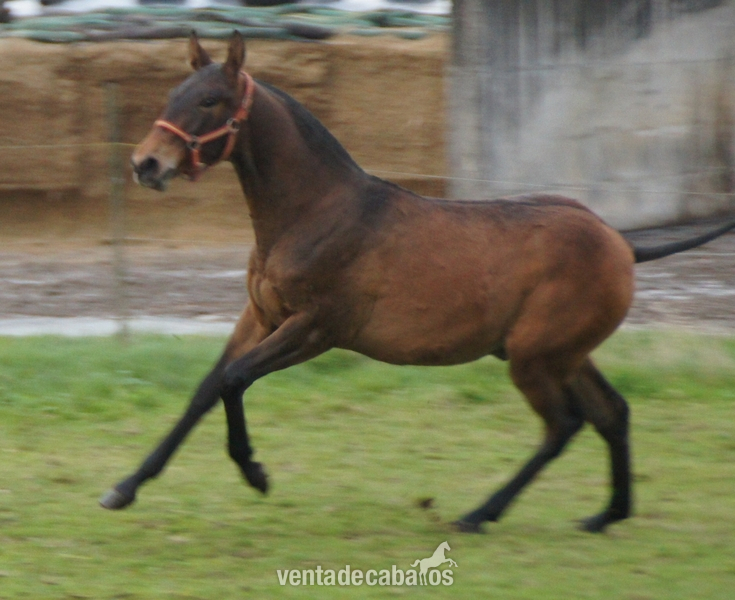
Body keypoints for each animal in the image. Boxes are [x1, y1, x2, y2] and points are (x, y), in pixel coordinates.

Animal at [101, 32, 735, 534]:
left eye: (210, 101)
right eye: (172, 96)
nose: (146, 164)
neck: (314, 212)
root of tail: (621, 242)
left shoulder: (317, 328)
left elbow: (234, 381)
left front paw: (255, 472)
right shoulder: (260, 316)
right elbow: (207, 389)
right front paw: (125, 487)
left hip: (534, 356)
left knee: (563, 426)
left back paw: (481, 514)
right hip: (564, 352)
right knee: (612, 413)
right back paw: (607, 514)